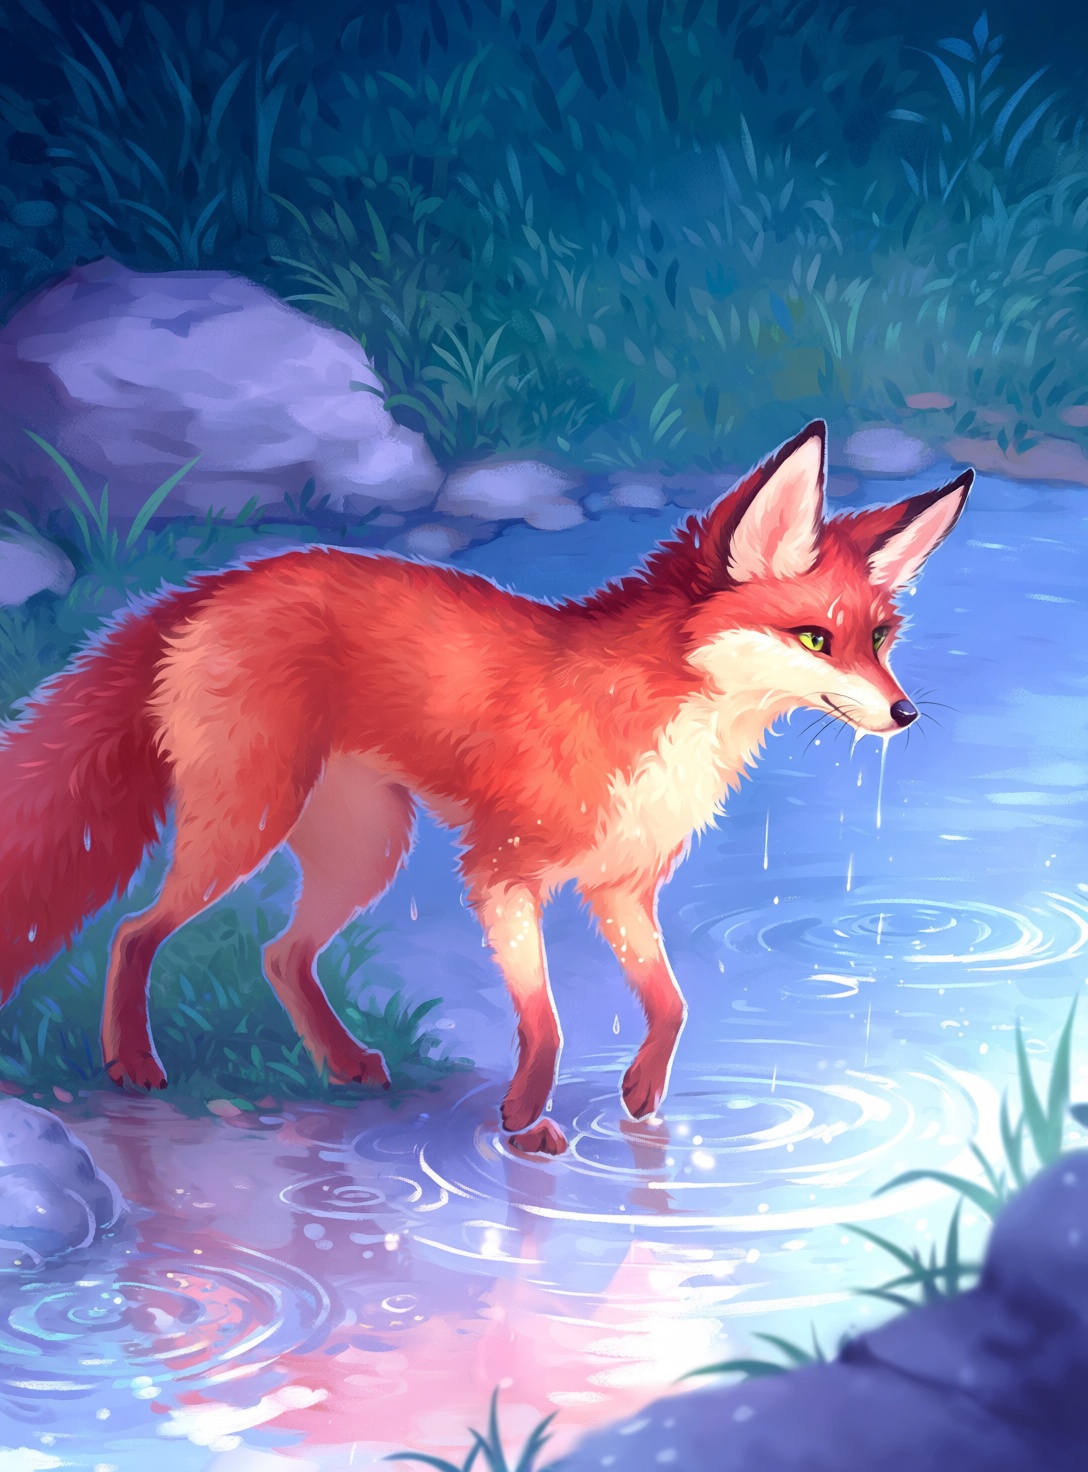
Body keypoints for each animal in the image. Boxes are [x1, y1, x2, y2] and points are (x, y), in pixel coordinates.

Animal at [0, 422, 970, 1154]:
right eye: (813, 639)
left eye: (880, 637)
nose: (906, 712)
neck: (657, 713)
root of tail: (218, 584)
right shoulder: (503, 871)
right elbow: (545, 1021)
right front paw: (524, 1121)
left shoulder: (620, 885)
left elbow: (671, 1004)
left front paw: (641, 1093)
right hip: (248, 826)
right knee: (133, 931)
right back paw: (131, 1063)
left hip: (365, 850)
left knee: (279, 954)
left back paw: (342, 1062)